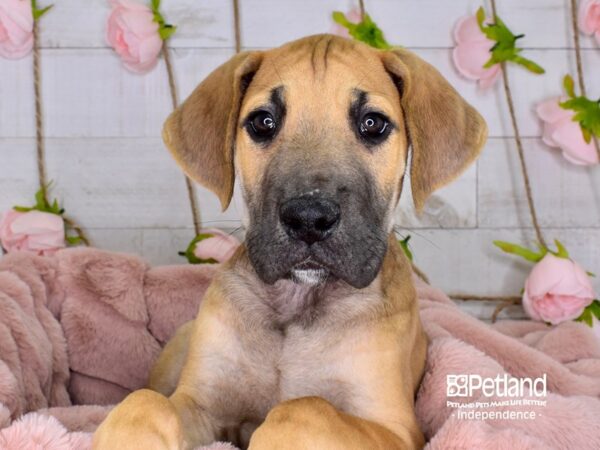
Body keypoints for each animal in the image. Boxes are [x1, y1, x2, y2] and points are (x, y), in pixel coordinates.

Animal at [95, 33, 488, 448]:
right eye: (263, 121)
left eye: (373, 123)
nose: (309, 219)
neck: (298, 302)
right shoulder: (201, 403)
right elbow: (145, 404)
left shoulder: (398, 430)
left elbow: (301, 409)